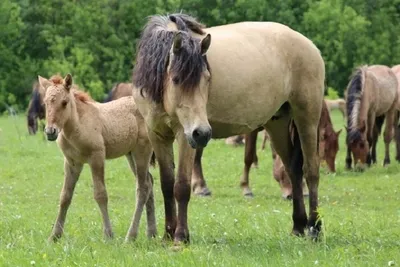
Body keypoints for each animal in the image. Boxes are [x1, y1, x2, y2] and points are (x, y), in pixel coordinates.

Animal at [38, 74, 155, 243]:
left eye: (64, 102)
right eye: (46, 103)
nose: (50, 131)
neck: (77, 125)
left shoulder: (97, 157)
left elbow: (101, 194)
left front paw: (108, 235)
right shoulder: (72, 162)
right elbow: (65, 196)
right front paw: (54, 236)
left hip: (142, 151)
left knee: (143, 187)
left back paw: (130, 236)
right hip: (130, 154)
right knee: (150, 182)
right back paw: (151, 233)